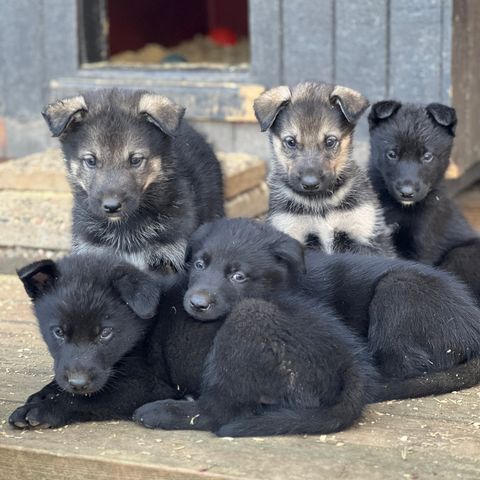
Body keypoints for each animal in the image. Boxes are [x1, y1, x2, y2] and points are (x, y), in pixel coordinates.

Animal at [368, 101, 480, 300]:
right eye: (392, 154)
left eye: (427, 156)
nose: (407, 193)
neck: (401, 210)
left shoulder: (425, 243)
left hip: (463, 253)